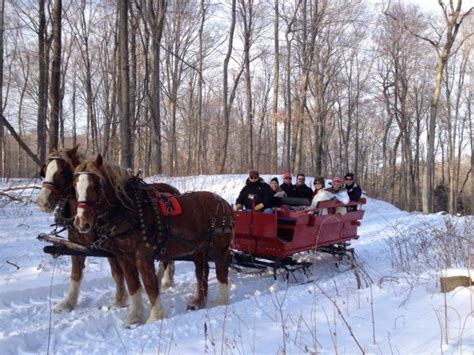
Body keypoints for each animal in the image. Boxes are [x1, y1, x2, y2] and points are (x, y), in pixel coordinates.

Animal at [36, 147, 178, 318]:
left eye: (63, 172)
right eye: (45, 171)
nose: (42, 202)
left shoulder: (111, 249)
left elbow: (117, 274)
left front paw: (119, 300)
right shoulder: (78, 246)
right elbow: (76, 274)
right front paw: (68, 303)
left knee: (165, 260)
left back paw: (161, 280)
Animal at [72, 155, 233, 326]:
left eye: (96, 185)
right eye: (75, 185)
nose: (82, 223)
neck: (130, 212)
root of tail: (224, 203)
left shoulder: (143, 257)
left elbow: (150, 286)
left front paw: (155, 316)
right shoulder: (124, 258)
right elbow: (133, 285)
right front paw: (134, 317)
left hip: (219, 249)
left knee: (222, 271)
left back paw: (221, 302)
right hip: (198, 250)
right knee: (202, 272)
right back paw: (198, 302)